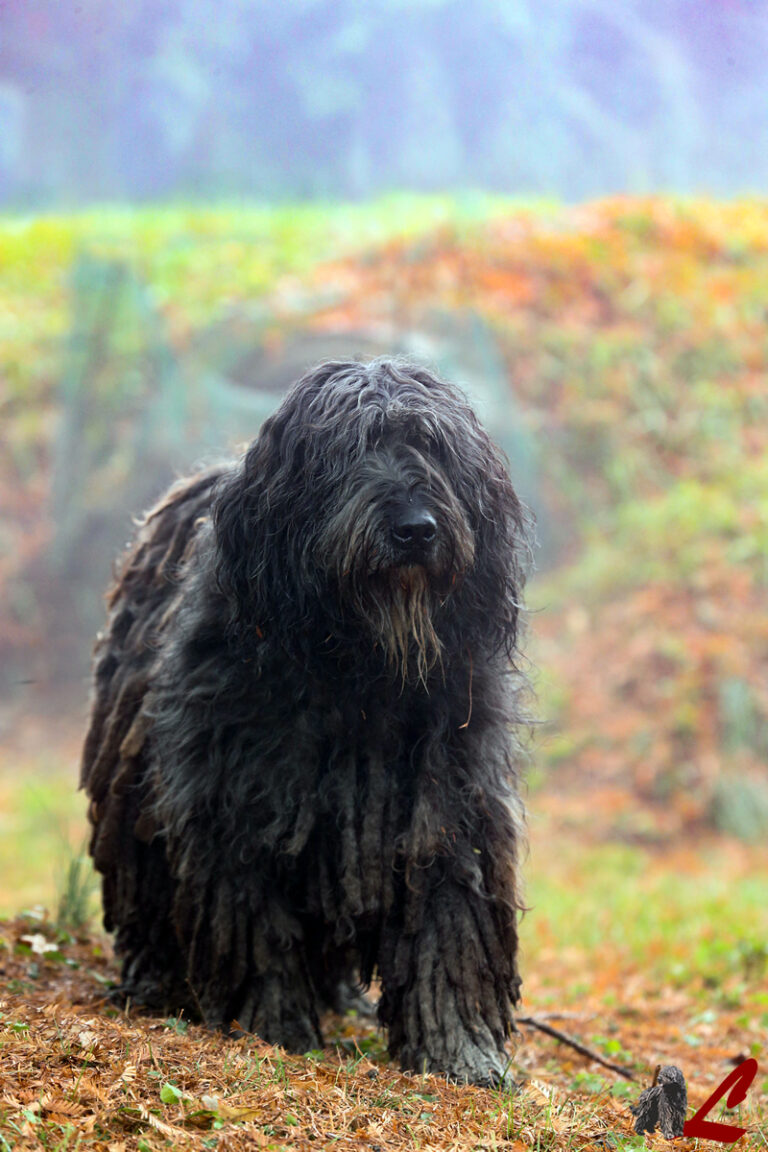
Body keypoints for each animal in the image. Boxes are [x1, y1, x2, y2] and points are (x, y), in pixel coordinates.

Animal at [81, 354, 531, 1082]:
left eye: (432, 447)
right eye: (350, 451)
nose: (415, 527)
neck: (361, 666)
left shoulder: (447, 803)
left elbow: (449, 922)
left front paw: (459, 1052)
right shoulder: (238, 802)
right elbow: (255, 924)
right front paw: (275, 1028)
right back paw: (156, 984)